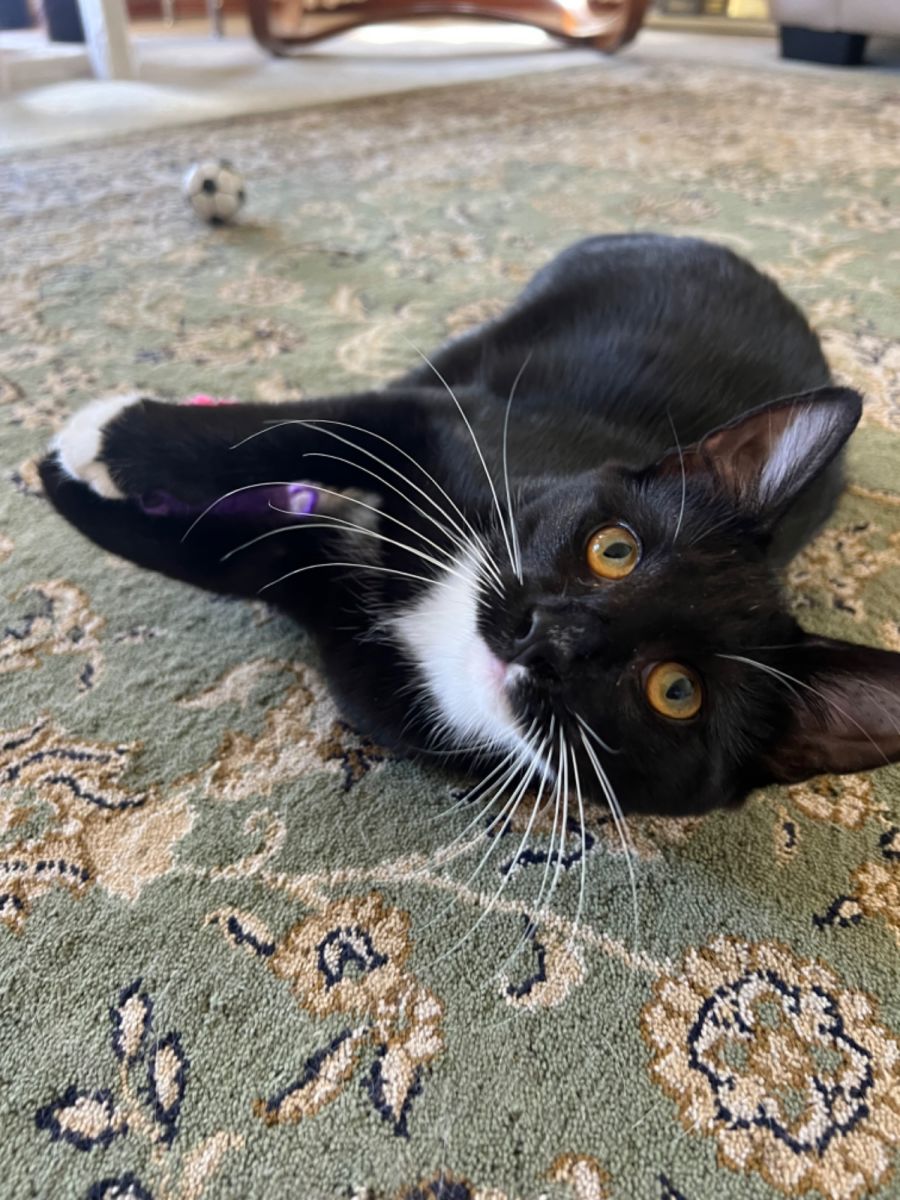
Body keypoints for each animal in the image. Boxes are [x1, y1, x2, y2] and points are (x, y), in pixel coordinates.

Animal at [39, 233, 900, 817]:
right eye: (615, 549)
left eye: (678, 692)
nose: (548, 638)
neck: (442, 628)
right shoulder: (448, 425)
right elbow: (295, 432)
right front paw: (105, 444)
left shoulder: (370, 672)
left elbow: (236, 556)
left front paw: (84, 482)